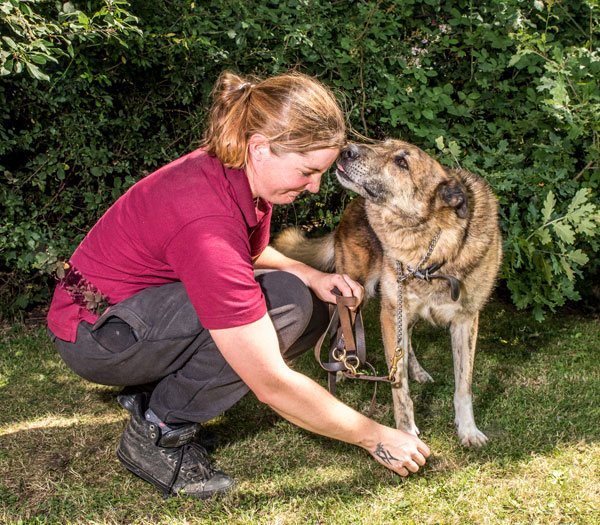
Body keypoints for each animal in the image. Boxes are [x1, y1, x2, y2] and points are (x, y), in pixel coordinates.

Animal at [276, 139, 502, 446]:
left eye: (402, 162)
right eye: (382, 144)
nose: (346, 149)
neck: (429, 248)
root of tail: (352, 207)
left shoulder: (465, 322)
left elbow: (463, 385)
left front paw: (467, 429)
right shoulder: (390, 313)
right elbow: (399, 387)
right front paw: (405, 432)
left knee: (407, 342)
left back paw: (416, 370)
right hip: (352, 291)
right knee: (342, 328)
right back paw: (342, 367)